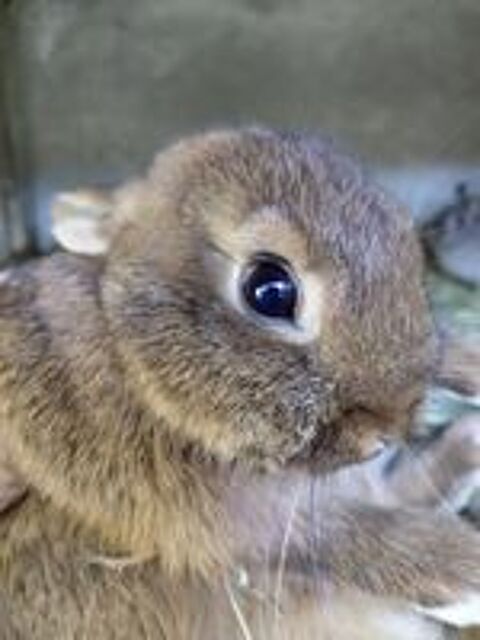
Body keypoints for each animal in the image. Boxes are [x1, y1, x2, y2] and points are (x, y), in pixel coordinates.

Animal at [0, 127, 479, 639]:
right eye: (270, 291)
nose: (390, 426)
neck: (133, 360)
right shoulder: (198, 506)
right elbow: (325, 531)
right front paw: (465, 576)